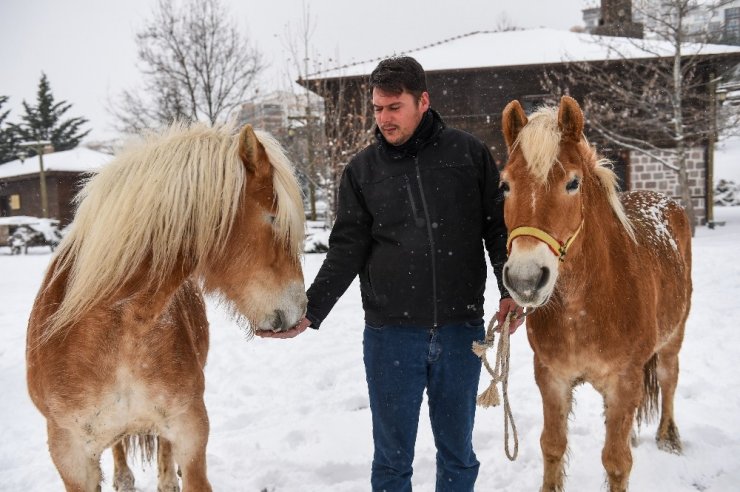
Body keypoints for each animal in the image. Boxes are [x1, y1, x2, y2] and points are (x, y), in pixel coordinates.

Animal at [26, 121, 306, 490]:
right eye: (273, 218)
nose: (299, 310)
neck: (120, 330)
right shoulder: (69, 456)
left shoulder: (191, 431)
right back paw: (123, 477)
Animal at [500, 97, 692, 492]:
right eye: (505, 186)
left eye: (572, 183)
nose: (526, 279)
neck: (582, 308)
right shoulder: (551, 378)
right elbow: (552, 446)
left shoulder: (624, 381)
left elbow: (617, 462)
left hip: (674, 337)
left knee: (669, 377)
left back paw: (668, 437)